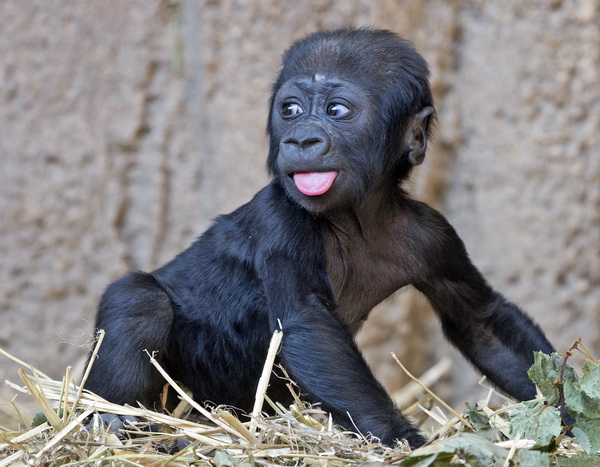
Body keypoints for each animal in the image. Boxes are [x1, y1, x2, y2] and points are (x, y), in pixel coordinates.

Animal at [86, 26, 556, 450]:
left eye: (336, 110)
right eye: (290, 109)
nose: (301, 139)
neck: (359, 216)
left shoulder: (434, 235)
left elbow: (481, 322)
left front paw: (562, 408)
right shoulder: (282, 220)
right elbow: (309, 326)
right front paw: (404, 441)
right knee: (139, 299)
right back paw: (116, 424)